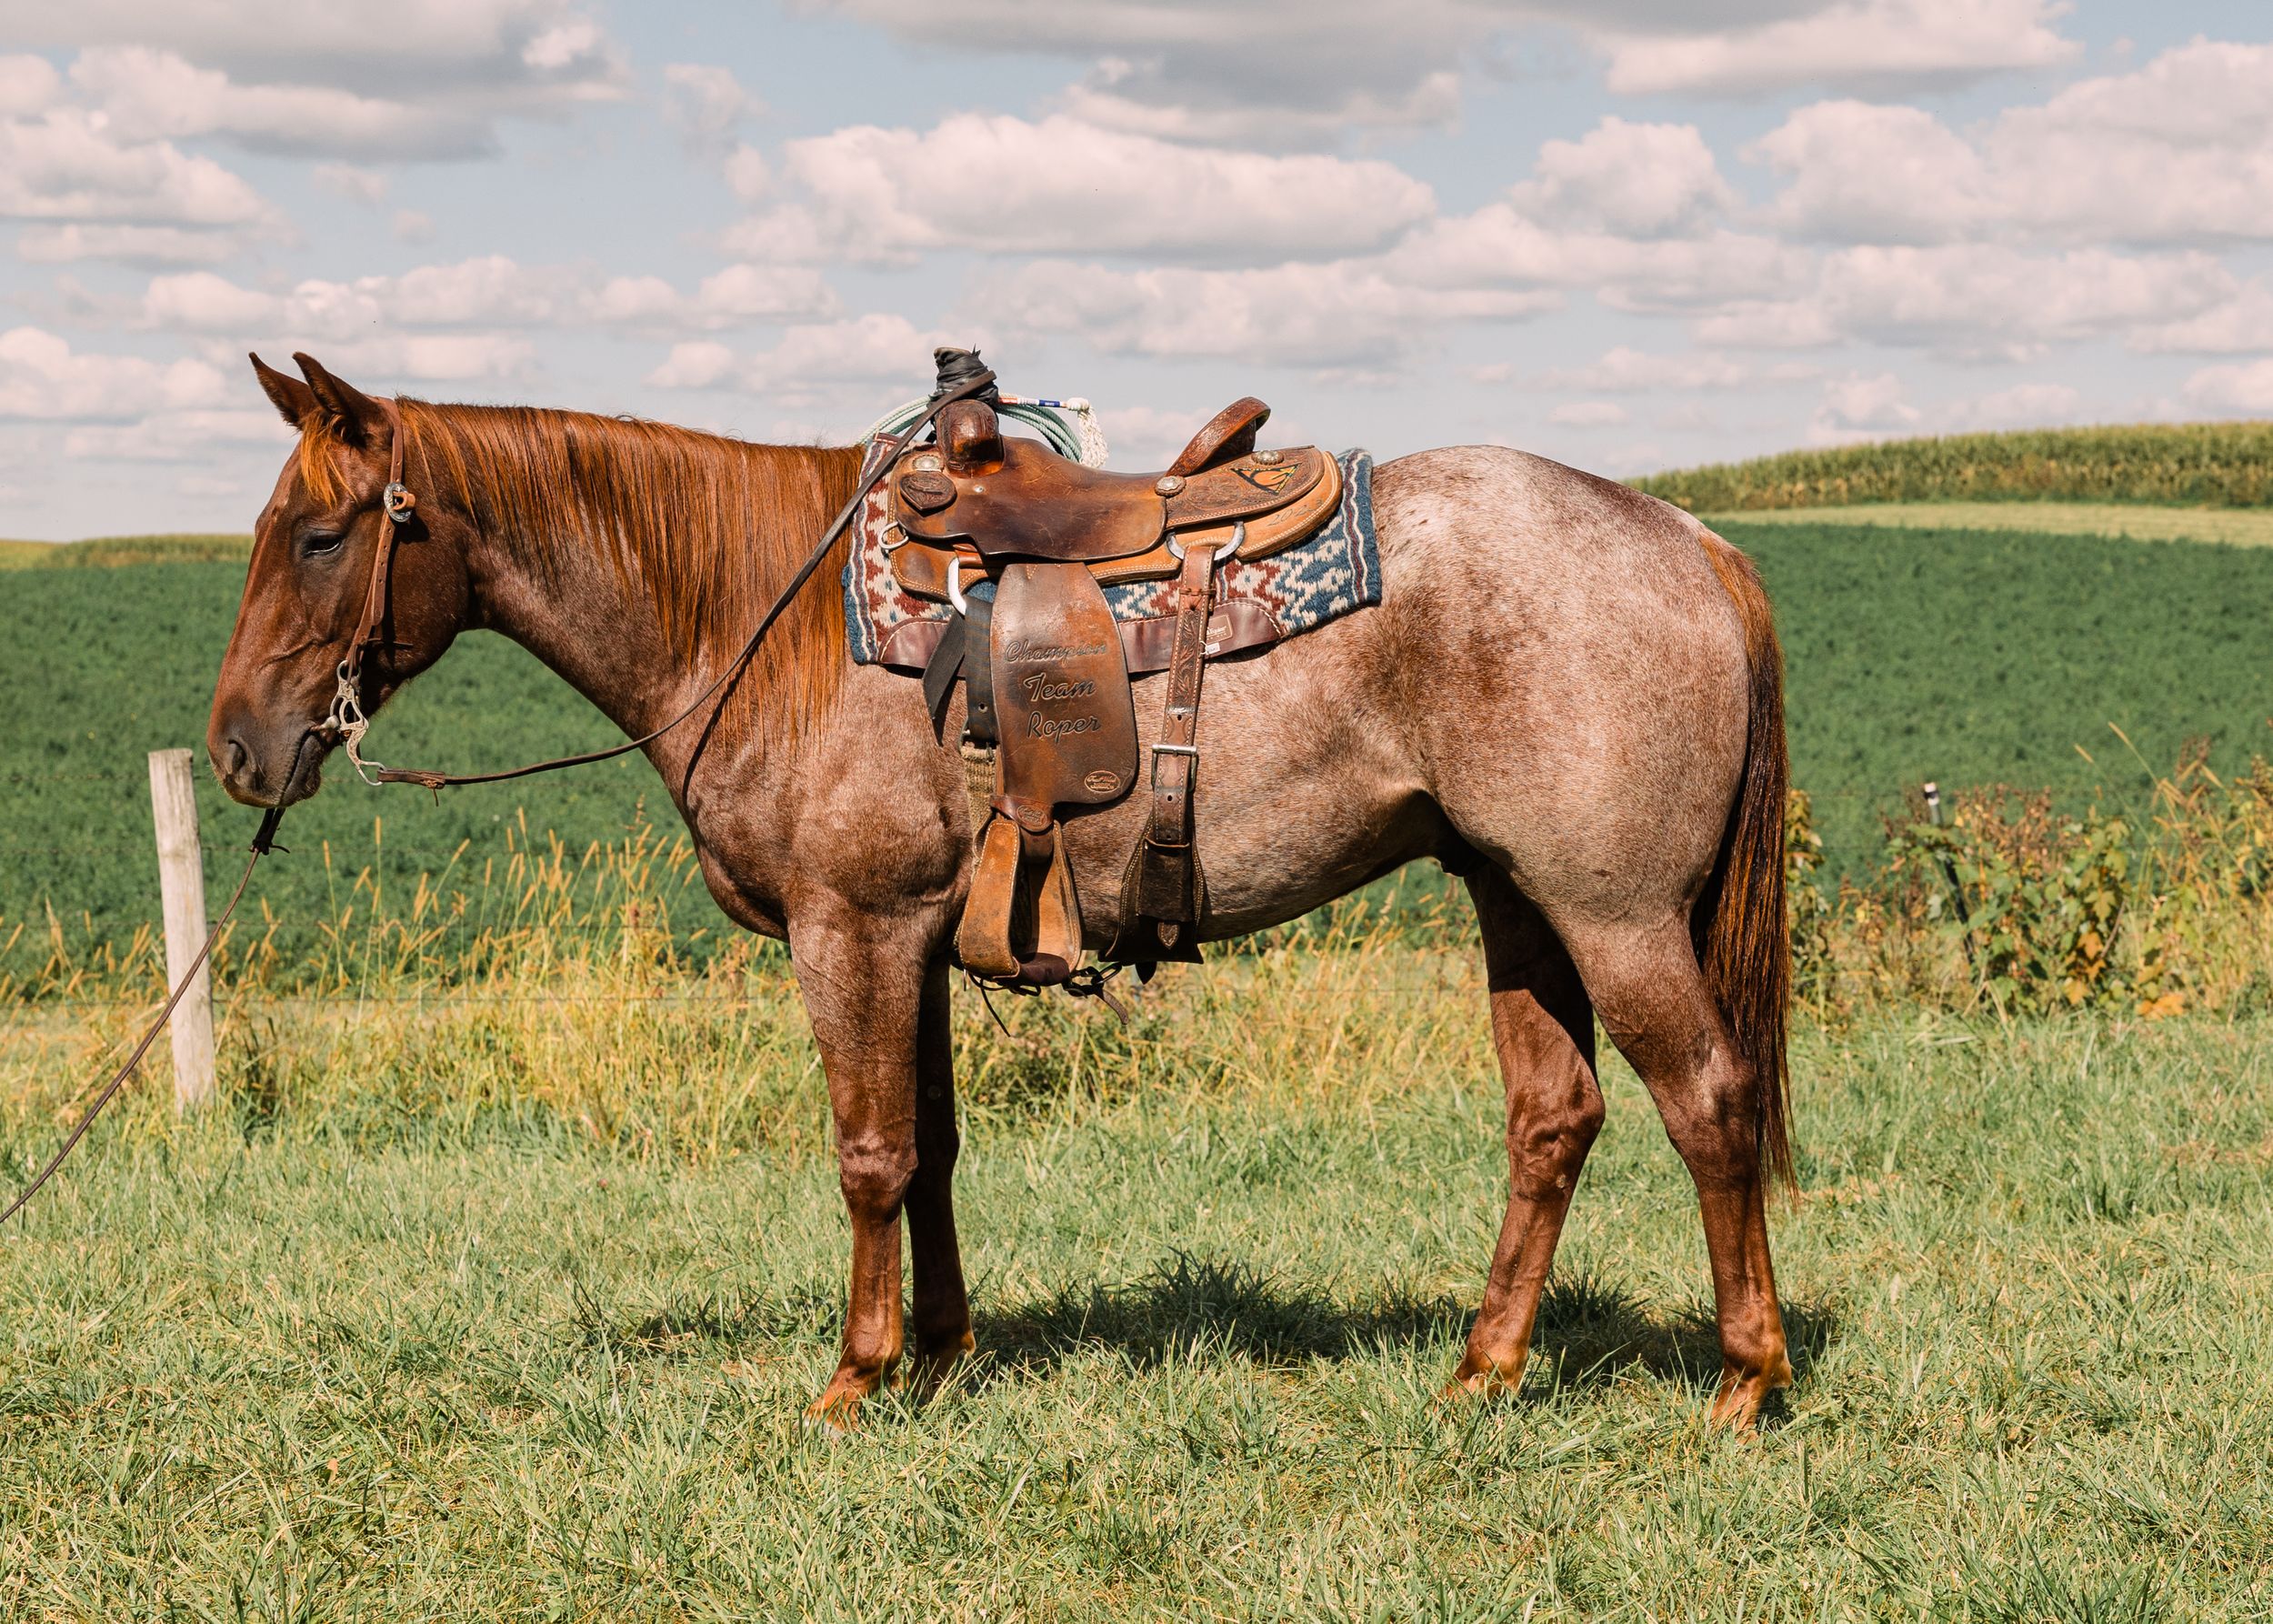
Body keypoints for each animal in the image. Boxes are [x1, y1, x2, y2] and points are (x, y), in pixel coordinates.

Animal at [208, 351, 1797, 1429]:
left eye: (320, 535)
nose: (236, 747)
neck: (764, 618)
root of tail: (1690, 536)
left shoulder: (848, 932)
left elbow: (867, 1153)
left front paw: (855, 1377)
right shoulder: (909, 938)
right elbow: (932, 1150)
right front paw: (942, 1350)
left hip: (1614, 914)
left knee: (1709, 1102)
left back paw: (1744, 1381)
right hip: (1514, 901)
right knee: (1556, 1119)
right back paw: (1483, 1367)